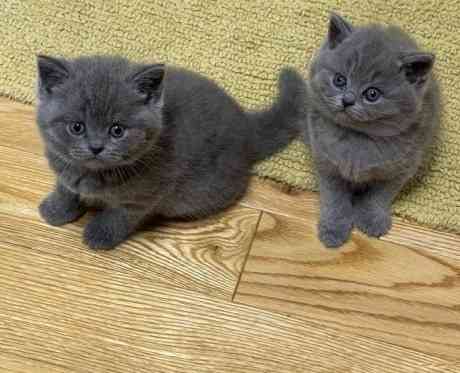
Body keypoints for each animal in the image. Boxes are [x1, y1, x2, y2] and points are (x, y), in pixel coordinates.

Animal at [36, 53, 306, 248]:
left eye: (117, 130)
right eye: (77, 127)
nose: (95, 147)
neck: (93, 173)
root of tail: (246, 125)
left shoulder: (144, 196)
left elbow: (120, 215)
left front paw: (100, 234)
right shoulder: (63, 167)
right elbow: (65, 189)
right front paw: (55, 210)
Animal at [302, 13, 438, 247]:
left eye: (372, 94)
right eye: (339, 80)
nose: (347, 100)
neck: (356, 137)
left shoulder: (400, 170)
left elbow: (379, 196)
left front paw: (372, 220)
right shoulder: (326, 163)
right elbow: (334, 198)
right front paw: (333, 229)